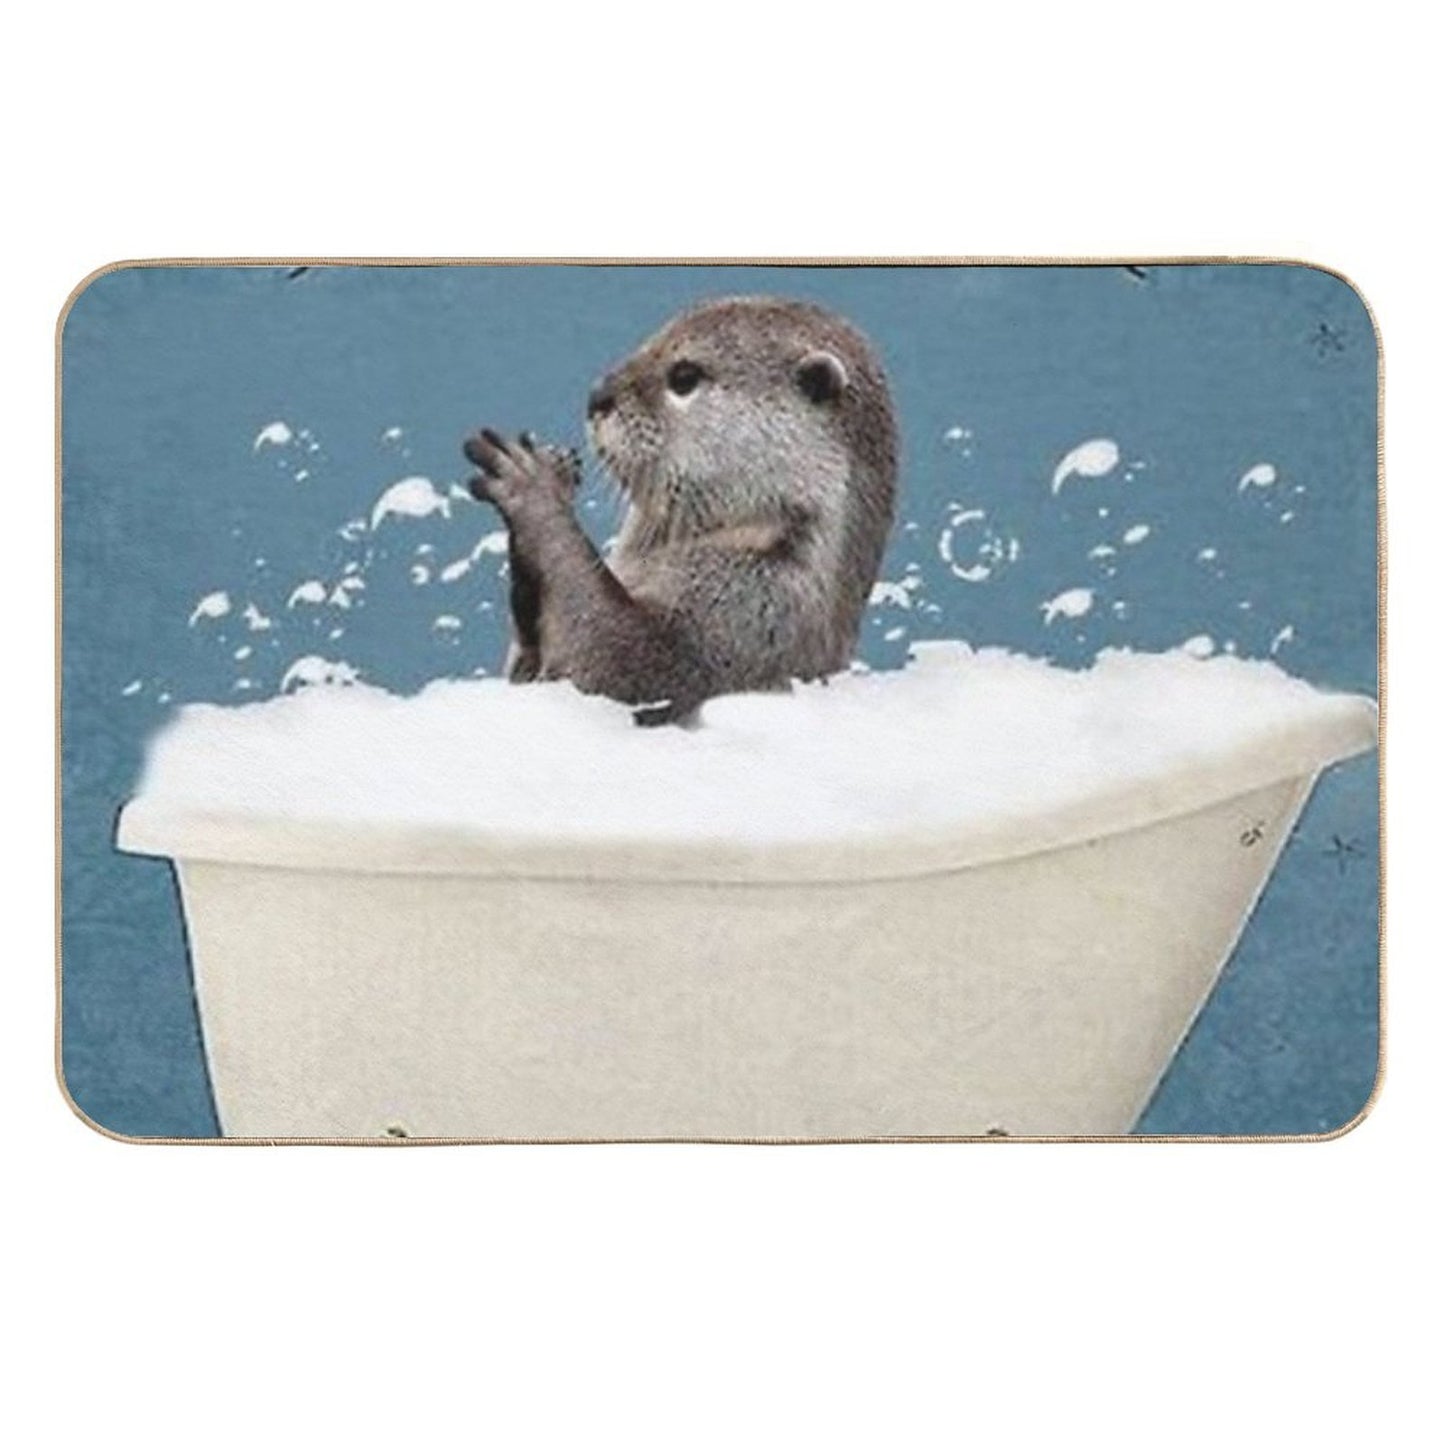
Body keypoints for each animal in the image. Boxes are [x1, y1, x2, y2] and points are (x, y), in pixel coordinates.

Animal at [463, 296, 897, 724]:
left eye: (684, 376)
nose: (597, 396)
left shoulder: (752, 615)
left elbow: (618, 668)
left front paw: (533, 483)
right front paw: (558, 465)